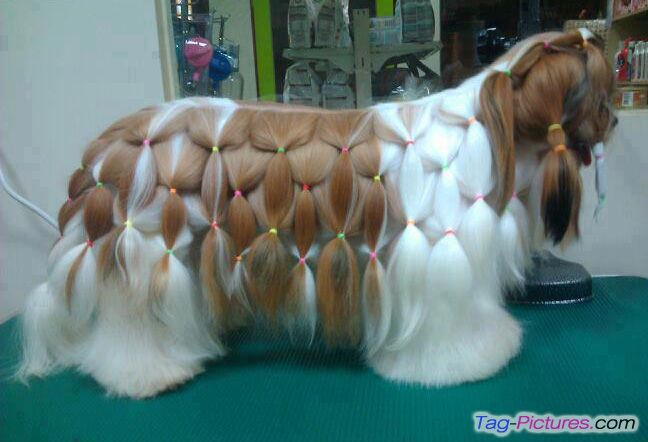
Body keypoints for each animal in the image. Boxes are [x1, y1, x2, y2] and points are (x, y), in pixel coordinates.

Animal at [15, 30, 616, 398]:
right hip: (146, 249)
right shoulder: (436, 259)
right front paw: (460, 364)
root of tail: (104, 151)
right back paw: (147, 374)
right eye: (601, 94)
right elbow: (448, 329)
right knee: (131, 326)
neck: (493, 125)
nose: (613, 123)